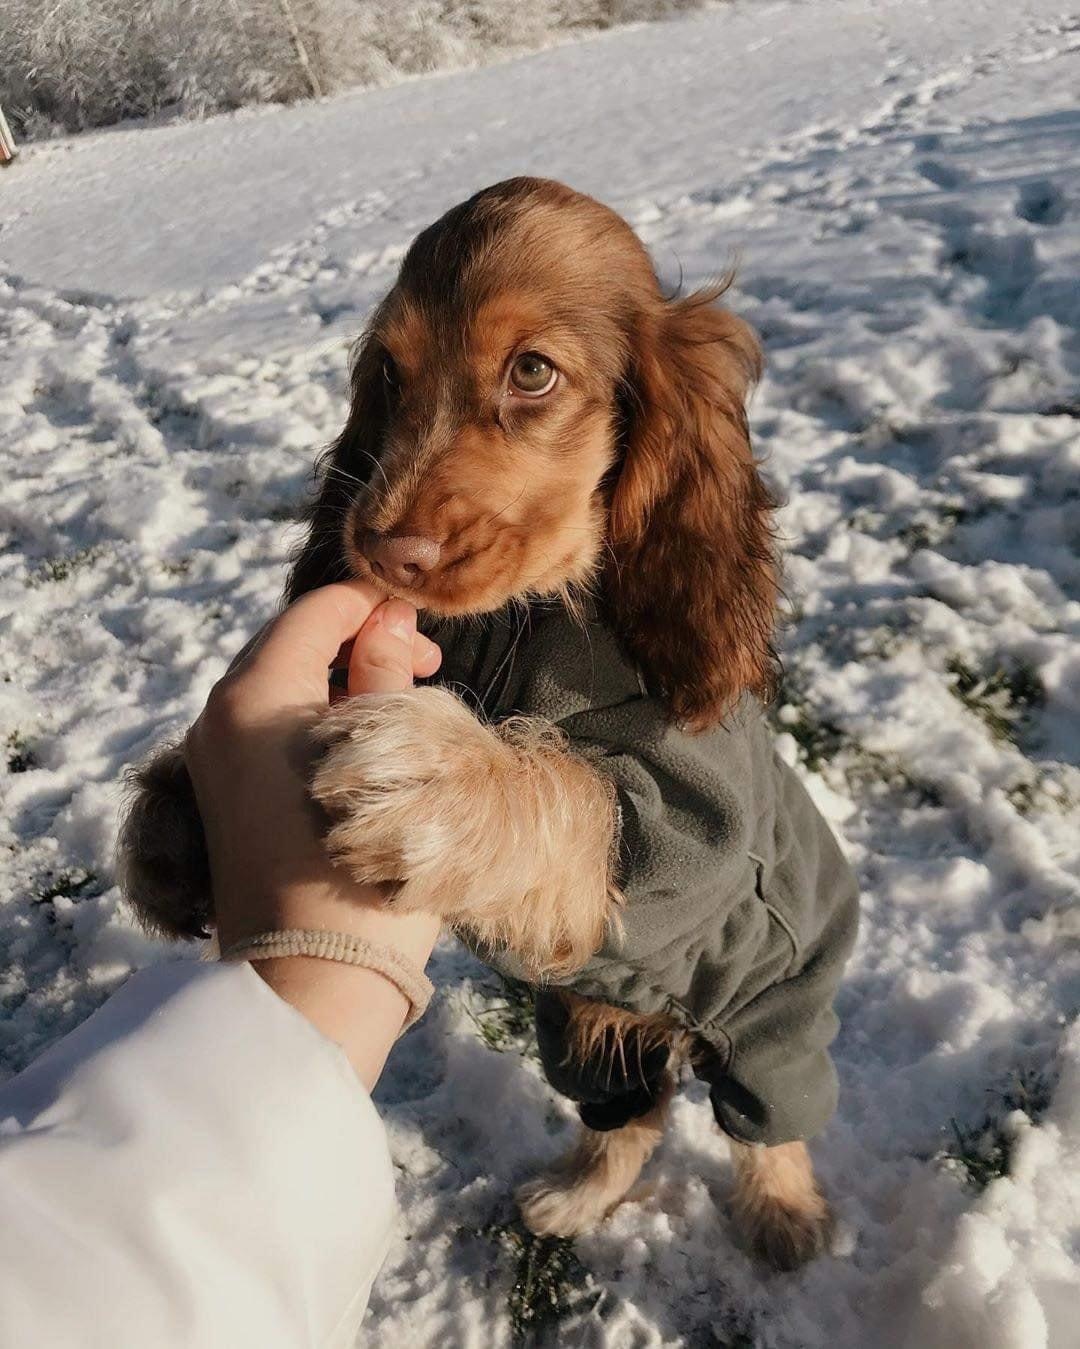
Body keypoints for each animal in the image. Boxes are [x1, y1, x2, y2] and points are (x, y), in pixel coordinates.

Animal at [117, 176, 857, 1262]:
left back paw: (787, 1218)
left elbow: (576, 791)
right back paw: (573, 1198)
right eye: (388, 371)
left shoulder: (687, 840)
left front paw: (429, 775)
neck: (526, 617)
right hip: (586, 1034)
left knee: (769, 1124)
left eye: (533, 372)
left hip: (774, 1026)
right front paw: (172, 824)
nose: (383, 548)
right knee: (629, 1118)